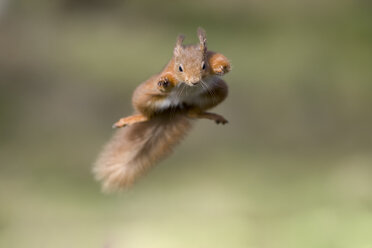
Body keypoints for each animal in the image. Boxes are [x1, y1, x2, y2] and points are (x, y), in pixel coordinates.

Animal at [93, 27, 230, 192]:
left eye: (203, 66)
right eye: (180, 68)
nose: (194, 81)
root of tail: (179, 106)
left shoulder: (212, 56)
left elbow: (223, 61)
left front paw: (220, 67)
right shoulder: (170, 72)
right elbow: (167, 80)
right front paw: (165, 82)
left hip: (220, 92)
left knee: (193, 113)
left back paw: (212, 115)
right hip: (142, 96)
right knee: (148, 116)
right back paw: (132, 119)